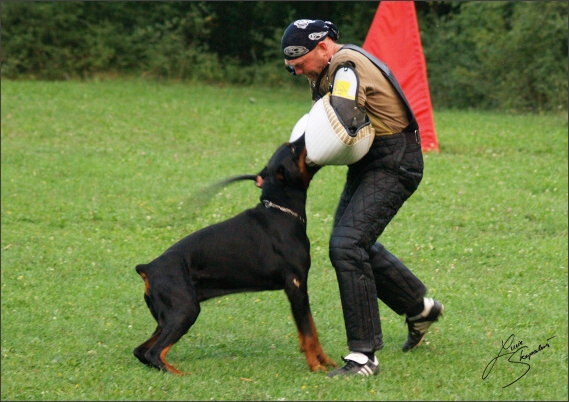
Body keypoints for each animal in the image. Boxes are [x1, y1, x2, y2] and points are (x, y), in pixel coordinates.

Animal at [132, 138, 338, 374]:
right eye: (294, 148)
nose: (304, 137)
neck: (280, 211)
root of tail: (148, 268)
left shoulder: (300, 288)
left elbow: (312, 331)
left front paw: (326, 362)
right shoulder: (296, 287)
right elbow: (308, 334)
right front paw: (316, 367)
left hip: (166, 317)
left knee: (141, 351)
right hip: (185, 310)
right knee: (154, 352)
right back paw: (179, 373)